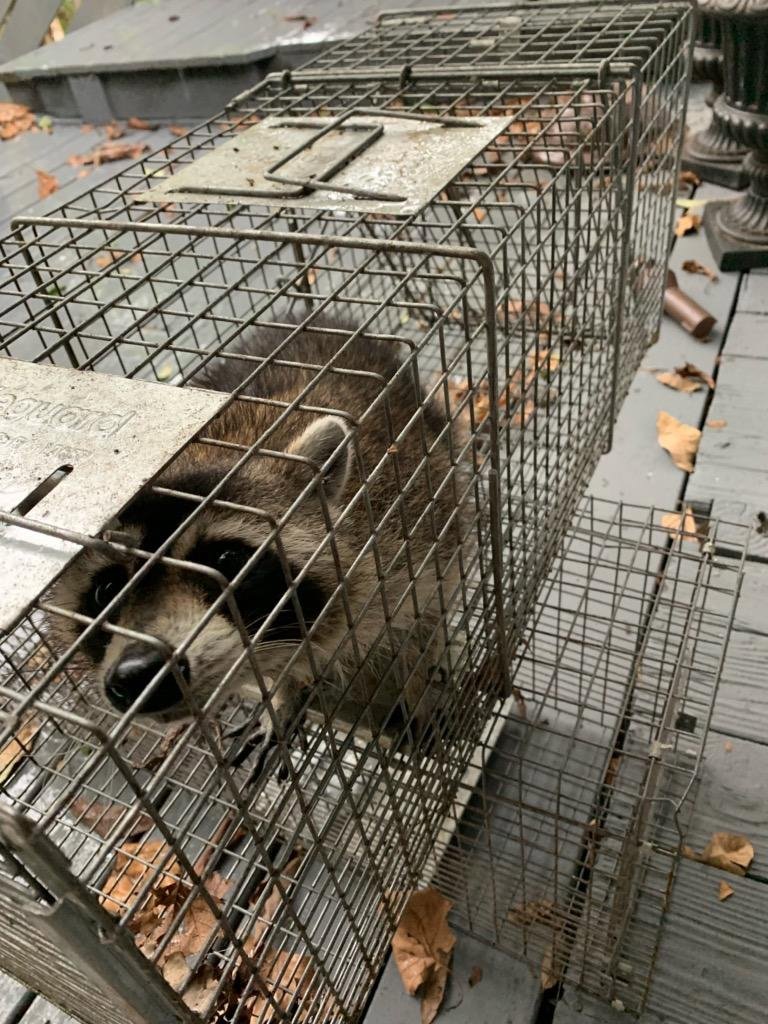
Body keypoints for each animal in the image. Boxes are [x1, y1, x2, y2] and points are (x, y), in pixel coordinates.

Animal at [46, 317, 464, 776]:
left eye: (228, 562)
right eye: (105, 590)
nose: (139, 676)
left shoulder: (412, 534)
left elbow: (423, 622)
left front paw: (417, 689)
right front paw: (282, 698)